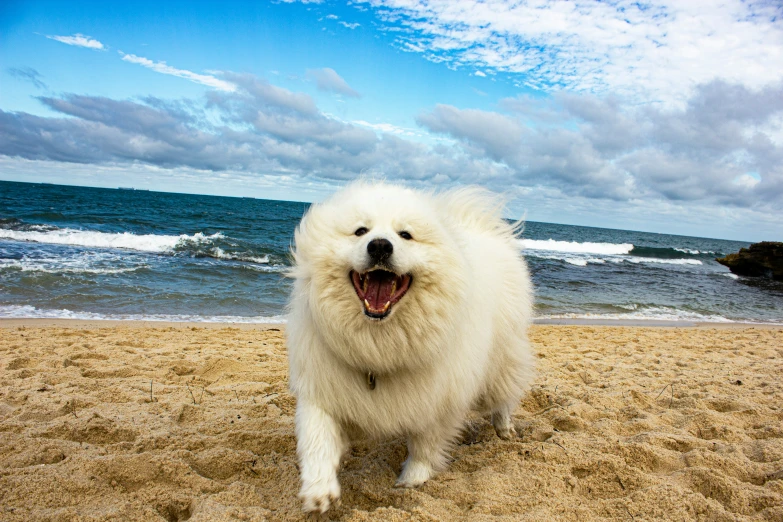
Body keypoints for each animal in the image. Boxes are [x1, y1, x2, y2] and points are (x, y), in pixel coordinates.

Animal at [284, 182, 536, 512]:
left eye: (405, 234)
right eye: (360, 231)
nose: (380, 246)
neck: (380, 344)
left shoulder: (441, 397)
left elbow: (425, 443)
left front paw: (413, 478)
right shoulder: (324, 387)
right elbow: (317, 438)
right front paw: (318, 489)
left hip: (500, 361)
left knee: (503, 395)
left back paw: (504, 428)